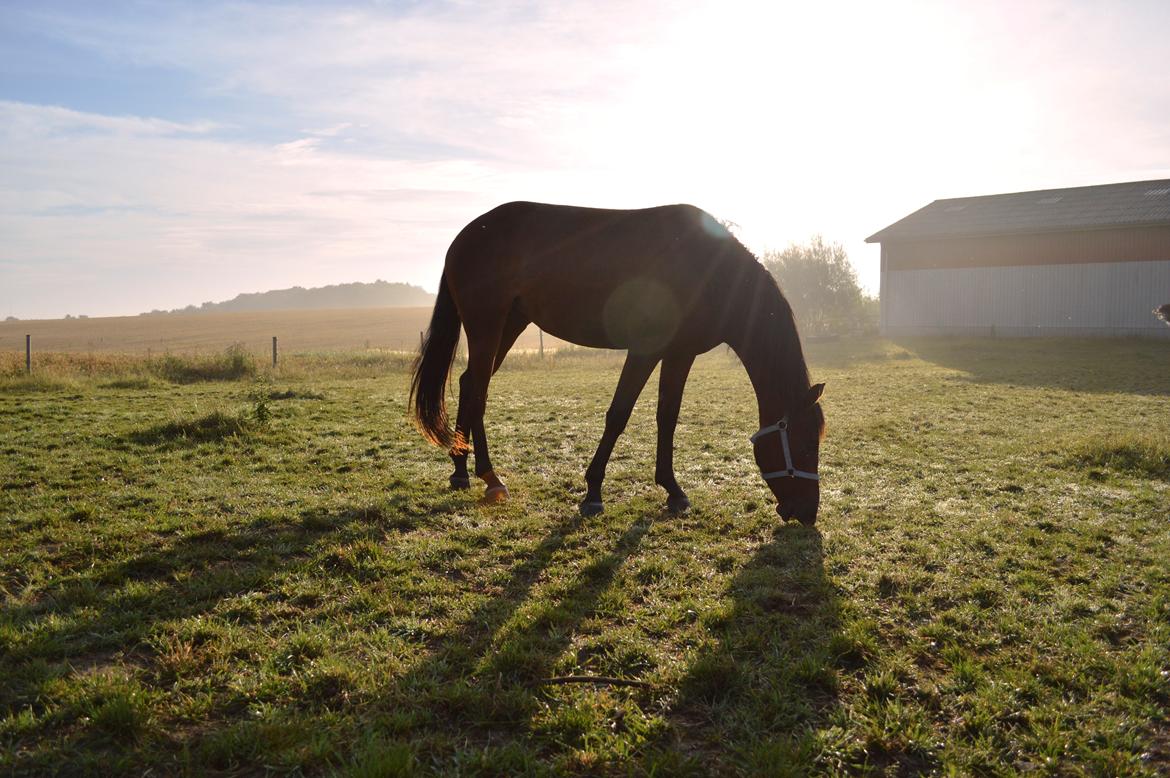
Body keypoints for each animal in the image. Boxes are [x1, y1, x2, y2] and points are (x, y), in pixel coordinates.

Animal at [407, 203, 828, 524]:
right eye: (806, 442)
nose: (808, 512)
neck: (708, 271)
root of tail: (464, 237)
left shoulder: (680, 353)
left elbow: (667, 417)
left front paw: (673, 489)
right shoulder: (643, 350)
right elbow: (619, 414)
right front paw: (593, 491)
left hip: (510, 324)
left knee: (468, 384)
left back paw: (460, 469)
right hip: (487, 325)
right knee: (478, 392)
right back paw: (490, 477)